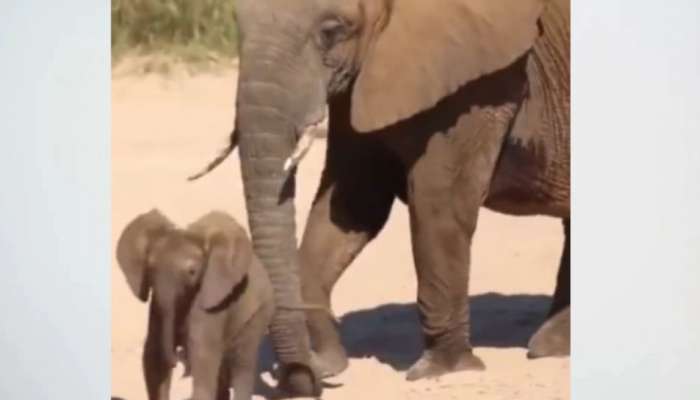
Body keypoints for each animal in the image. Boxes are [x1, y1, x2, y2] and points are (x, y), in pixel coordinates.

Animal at [117, 209, 274, 400]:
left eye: (192, 272)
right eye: (150, 267)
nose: (178, 364)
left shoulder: (209, 302)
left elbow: (202, 358)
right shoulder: (156, 306)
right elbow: (152, 357)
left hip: (259, 311)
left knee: (242, 363)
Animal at [191, 0, 568, 396]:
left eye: (332, 31)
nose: (308, 376)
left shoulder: (486, 80)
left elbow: (438, 203)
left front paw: (442, 371)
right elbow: (353, 202)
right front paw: (328, 363)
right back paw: (551, 346)